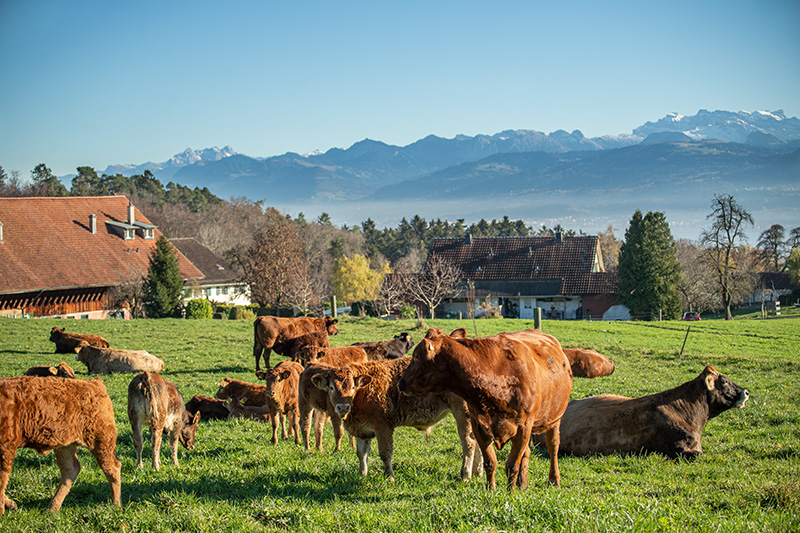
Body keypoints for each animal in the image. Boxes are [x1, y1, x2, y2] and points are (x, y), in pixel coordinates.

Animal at [0, 372, 122, 512]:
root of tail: (95, 383)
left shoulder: (5, 447)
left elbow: (1, 479)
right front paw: (10, 504)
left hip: (100, 440)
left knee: (112, 467)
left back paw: (116, 504)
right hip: (65, 445)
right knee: (70, 470)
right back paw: (53, 507)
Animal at [310, 356, 482, 480]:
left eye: (353, 386)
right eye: (331, 387)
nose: (343, 407)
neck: (362, 393)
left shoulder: (383, 427)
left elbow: (385, 453)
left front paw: (390, 477)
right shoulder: (362, 430)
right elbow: (361, 453)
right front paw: (362, 474)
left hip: (463, 414)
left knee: (468, 442)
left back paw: (465, 475)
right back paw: (477, 472)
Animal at [396, 326, 572, 488]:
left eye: (416, 356)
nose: (400, 383)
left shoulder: (523, 427)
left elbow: (512, 465)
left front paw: (511, 493)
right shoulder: (479, 425)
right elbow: (490, 461)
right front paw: (491, 489)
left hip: (554, 420)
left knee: (553, 448)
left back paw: (553, 480)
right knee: (526, 454)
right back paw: (523, 484)